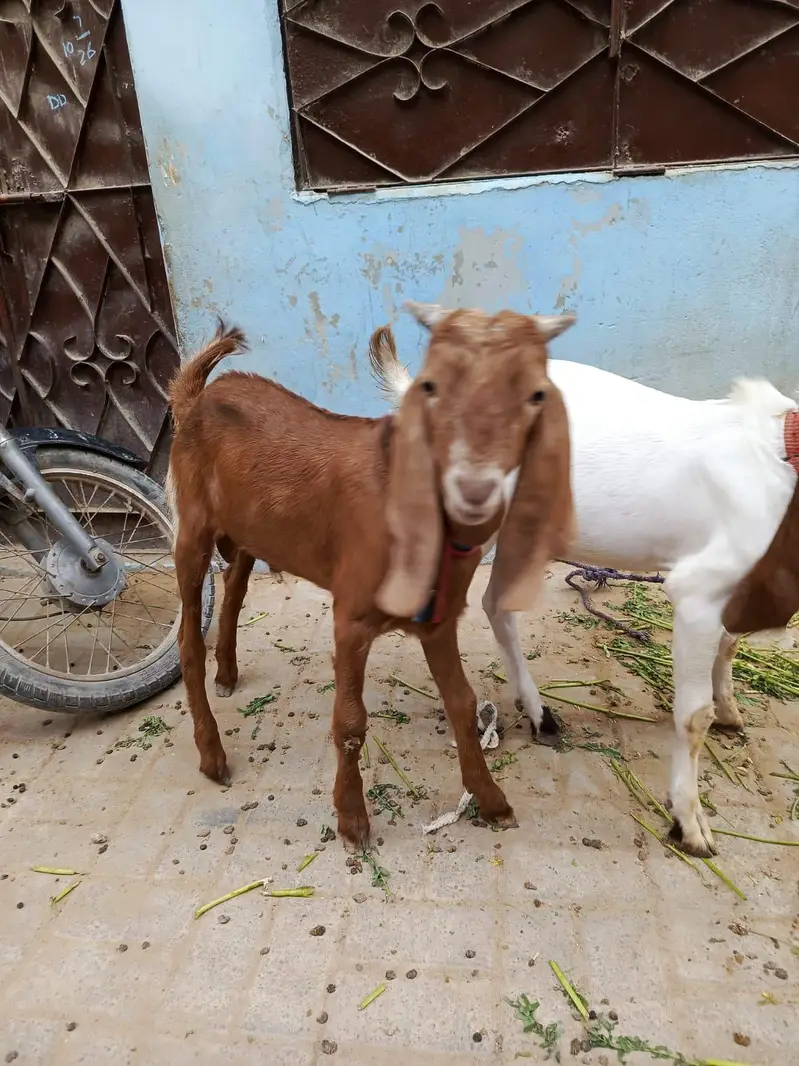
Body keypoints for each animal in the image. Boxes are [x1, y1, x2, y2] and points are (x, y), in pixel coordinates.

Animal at [167, 305, 574, 848]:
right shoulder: (352, 616)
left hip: (250, 530)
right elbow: (350, 721)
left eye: (536, 393)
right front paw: (352, 819)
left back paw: (228, 673)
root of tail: (196, 395)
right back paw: (212, 753)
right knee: (189, 639)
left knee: (234, 589)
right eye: (432, 386)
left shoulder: (439, 620)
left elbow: (463, 705)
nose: (475, 487)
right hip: (192, 527)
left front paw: (491, 800)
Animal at [371, 319, 799, 858]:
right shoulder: (698, 589)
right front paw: (690, 823)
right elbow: (692, 715)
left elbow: (730, 648)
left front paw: (731, 711)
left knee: (496, 603)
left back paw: (538, 713)